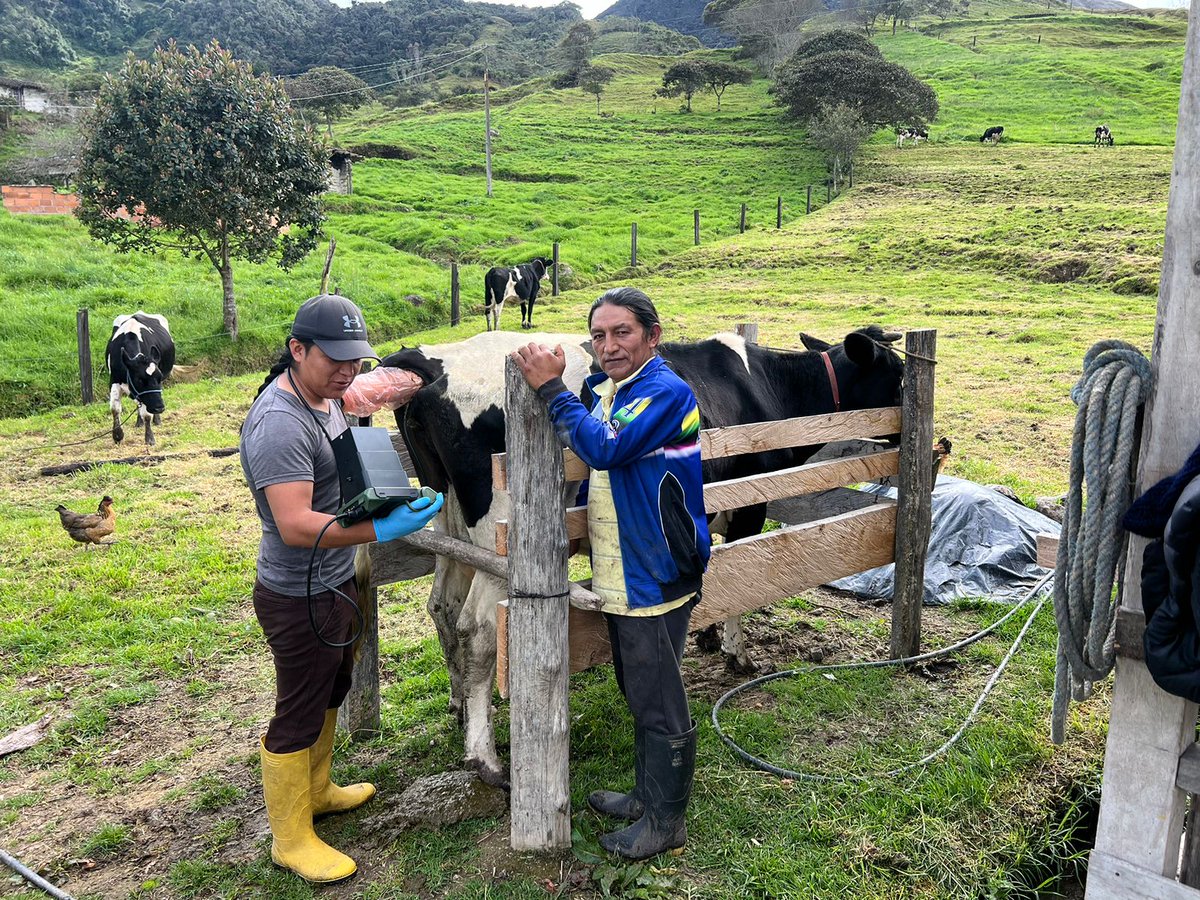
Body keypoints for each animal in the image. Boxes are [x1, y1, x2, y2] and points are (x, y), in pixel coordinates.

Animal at [106, 314, 175, 448]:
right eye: (140, 380)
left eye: (159, 377)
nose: (159, 408)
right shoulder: (114, 381)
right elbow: (115, 409)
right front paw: (117, 436)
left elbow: (147, 415)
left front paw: (149, 438)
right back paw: (139, 422)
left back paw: (156, 419)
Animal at [376, 328, 902, 787]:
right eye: (896, 373)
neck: (767, 389)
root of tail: (434, 379)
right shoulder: (750, 502)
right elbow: (739, 586)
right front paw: (737, 654)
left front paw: (708, 637)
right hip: (499, 546)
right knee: (478, 631)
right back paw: (484, 755)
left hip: (450, 523)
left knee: (442, 607)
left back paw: (459, 704)